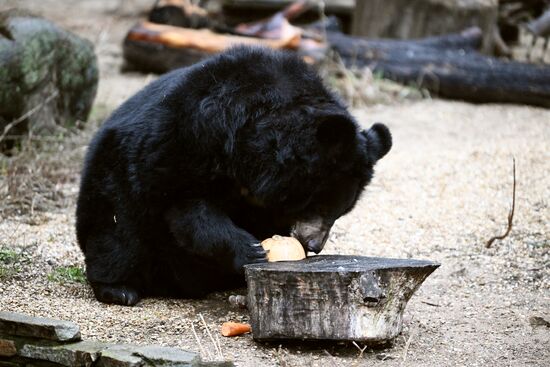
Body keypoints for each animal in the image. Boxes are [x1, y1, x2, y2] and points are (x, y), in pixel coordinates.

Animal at [76, 46, 392, 306]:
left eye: (340, 213)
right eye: (319, 205)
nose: (313, 245)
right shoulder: (187, 140)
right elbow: (187, 207)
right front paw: (252, 251)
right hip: (113, 178)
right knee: (117, 233)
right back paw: (119, 289)